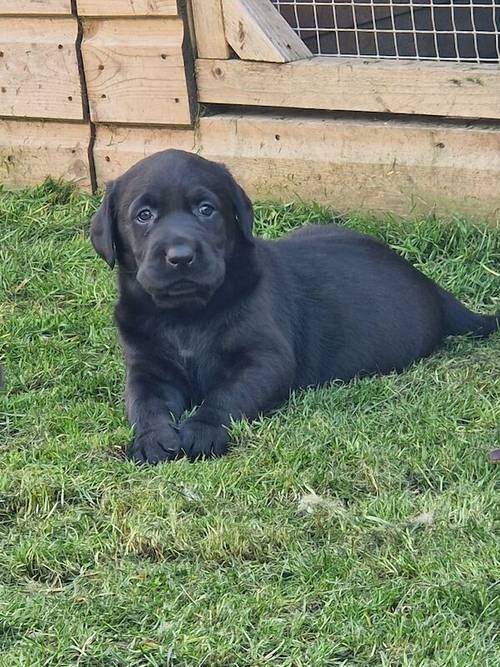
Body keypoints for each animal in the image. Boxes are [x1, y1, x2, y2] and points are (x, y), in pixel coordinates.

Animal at [91, 150, 500, 464]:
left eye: (206, 210)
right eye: (144, 215)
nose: (180, 256)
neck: (186, 315)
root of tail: (432, 287)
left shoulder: (265, 360)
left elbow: (227, 394)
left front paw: (202, 430)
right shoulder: (146, 368)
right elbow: (145, 404)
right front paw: (152, 439)